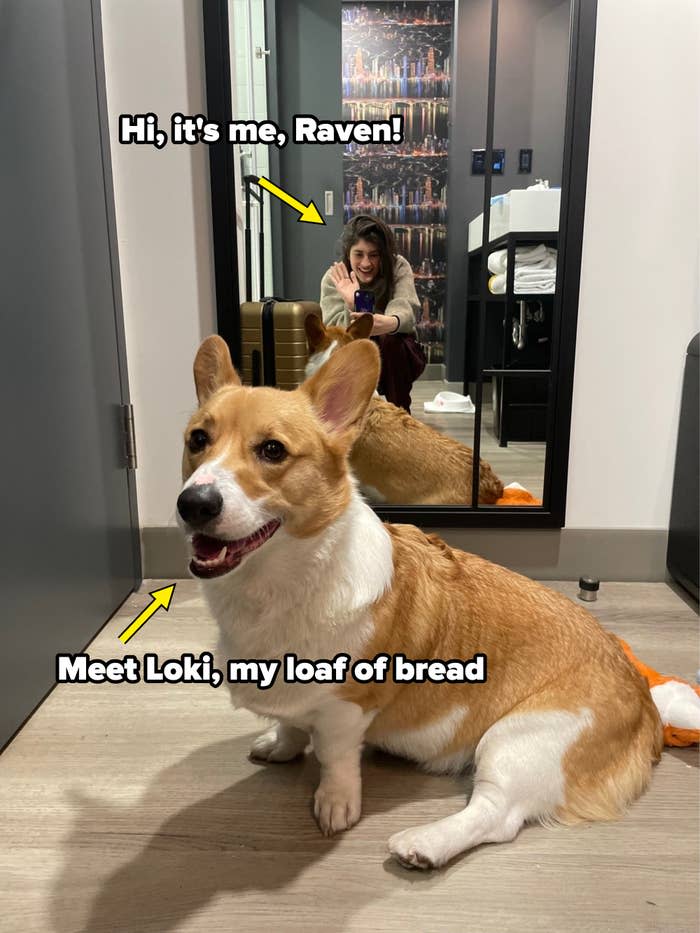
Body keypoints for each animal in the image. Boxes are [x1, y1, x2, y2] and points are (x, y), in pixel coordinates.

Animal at [179, 338, 660, 872]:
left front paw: (335, 804)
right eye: (198, 439)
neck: (276, 586)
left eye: (272, 450)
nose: (193, 503)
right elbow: (289, 724)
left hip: (519, 740)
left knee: (498, 815)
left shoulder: (348, 710)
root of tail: (644, 698)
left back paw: (424, 843)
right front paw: (281, 746)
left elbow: (336, 758)